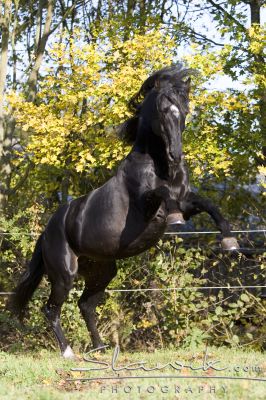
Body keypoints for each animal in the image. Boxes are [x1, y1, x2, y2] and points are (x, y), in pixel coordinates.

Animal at [10, 65, 239, 360]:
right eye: (163, 109)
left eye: (185, 108)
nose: (176, 155)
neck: (160, 167)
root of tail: (46, 233)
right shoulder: (148, 207)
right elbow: (164, 195)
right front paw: (176, 219)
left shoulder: (188, 203)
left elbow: (210, 205)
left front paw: (230, 242)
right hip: (64, 274)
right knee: (51, 309)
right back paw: (69, 352)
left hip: (102, 271)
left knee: (86, 305)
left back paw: (100, 348)